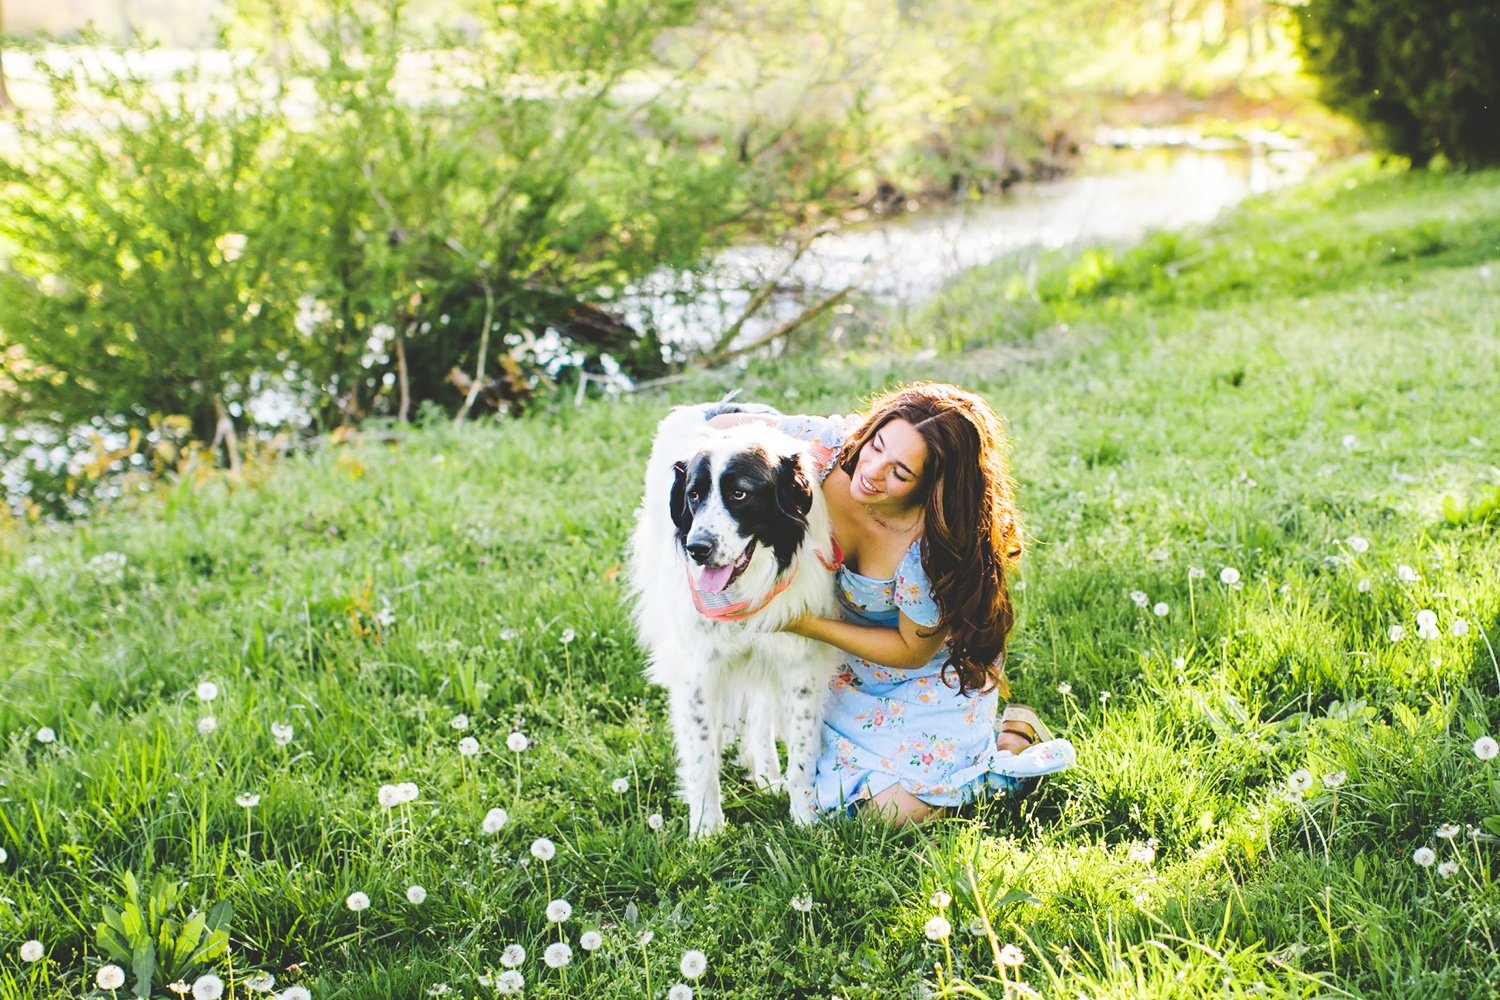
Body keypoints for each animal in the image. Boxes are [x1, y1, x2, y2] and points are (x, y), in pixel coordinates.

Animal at [627, 401, 846, 833]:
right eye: (694, 495)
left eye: (739, 494)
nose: (697, 548)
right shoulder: (697, 670)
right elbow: (701, 757)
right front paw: (705, 831)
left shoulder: (798, 664)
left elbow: (802, 755)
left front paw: (804, 823)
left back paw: (767, 777)